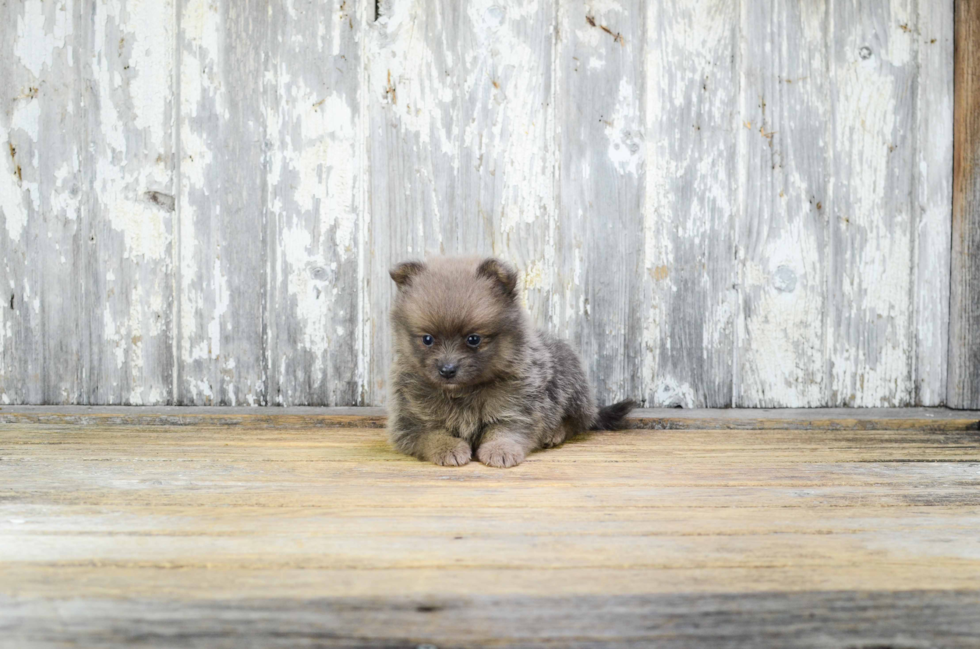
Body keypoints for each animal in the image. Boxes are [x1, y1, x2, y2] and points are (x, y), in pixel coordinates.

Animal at [382, 254, 636, 466]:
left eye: (473, 339)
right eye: (427, 339)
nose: (447, 369)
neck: (463, 393)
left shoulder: (517, 408)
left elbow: (505, 431)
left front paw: (500, 450)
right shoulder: (410, 420)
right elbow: (432, 434)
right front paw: (448, 448)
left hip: (569, 381)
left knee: (577, 420)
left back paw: (554, 433)